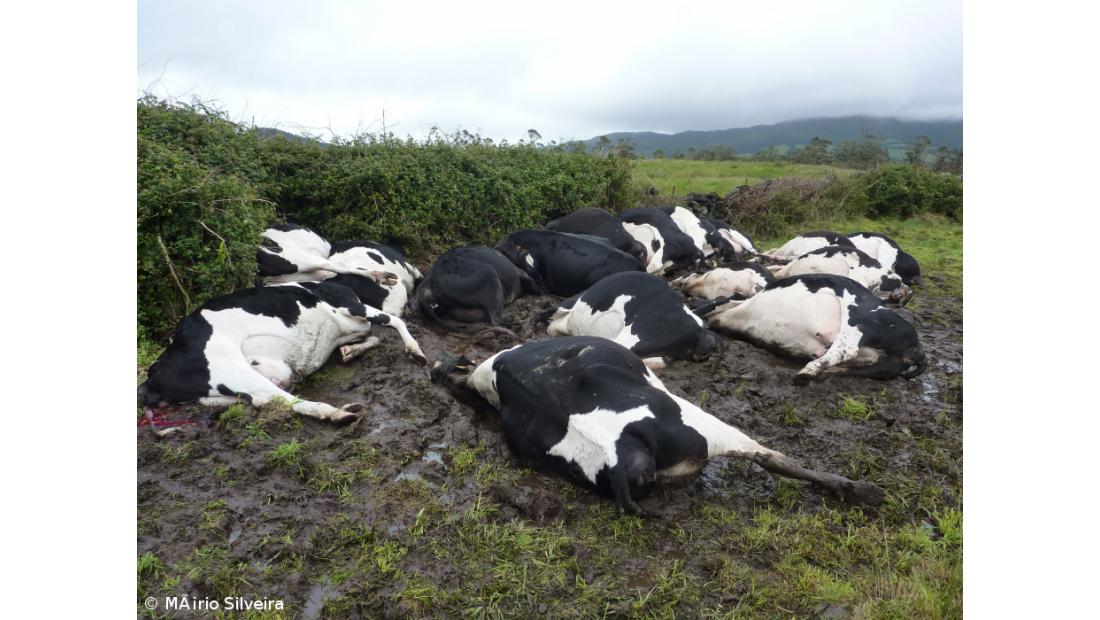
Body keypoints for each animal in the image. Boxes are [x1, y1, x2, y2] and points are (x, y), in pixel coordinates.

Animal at [137, 281, 427, 426]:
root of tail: (153, 373)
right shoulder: (352, 306)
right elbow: (394, 321)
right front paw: (415, 350)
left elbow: (374, 336)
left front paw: (351, 351)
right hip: (233, 368)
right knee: (286, 399)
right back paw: (337, 413)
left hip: (223, 392)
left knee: (263, 399)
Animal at [699, 274, 925, 384]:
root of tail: (917, 348)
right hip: (881, 363)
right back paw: (822, 371)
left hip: (858, 319)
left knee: (846, 349)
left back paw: (807, 372)